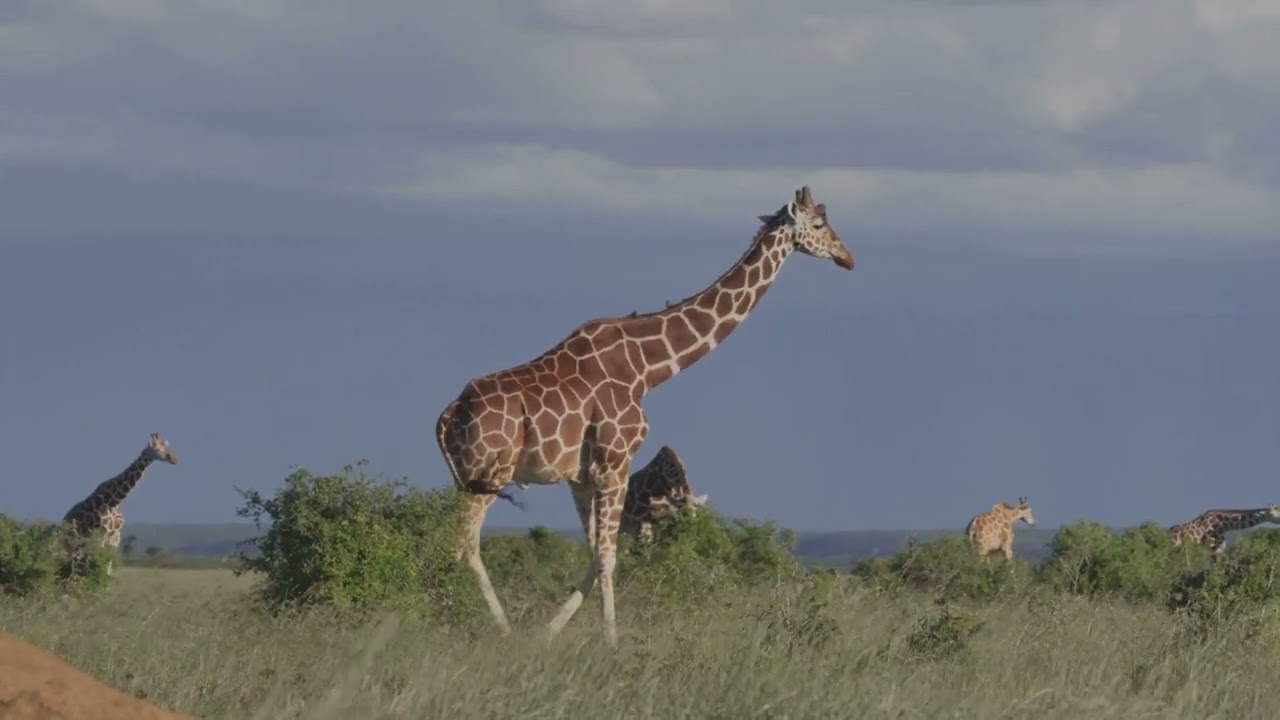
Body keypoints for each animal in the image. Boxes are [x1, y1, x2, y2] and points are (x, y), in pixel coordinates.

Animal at [62, 433, 179, 575]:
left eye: (166, 445)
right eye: (157, 448)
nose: (174, 458)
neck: (113, 501)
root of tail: (64, 519)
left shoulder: (114, 539)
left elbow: (107, 569)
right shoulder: (100, 536)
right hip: (74, 542)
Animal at [436, 185, 853, 644]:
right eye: (819, 224)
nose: (846, 256)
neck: (646, 370)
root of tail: (449, 415)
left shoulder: (583, 476)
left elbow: (593, 556)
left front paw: (549, 633)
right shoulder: (615, 462)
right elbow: (607, 558)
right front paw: (611, 643)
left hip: (467, 476)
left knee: (456, 541)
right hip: (490, 472)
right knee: (462, 544)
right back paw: (481, 627)